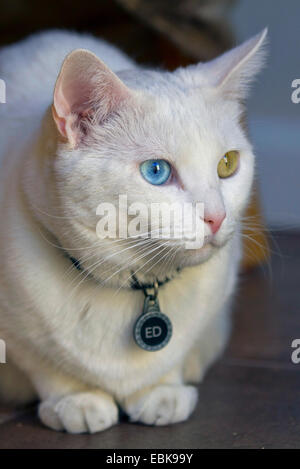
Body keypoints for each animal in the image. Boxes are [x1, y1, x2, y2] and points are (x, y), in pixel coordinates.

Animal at [0, 28, 268, 432]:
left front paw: (162, 390)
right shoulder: (18, 334)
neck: (137, 285)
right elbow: (46, 365)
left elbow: (173, 356)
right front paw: (75, 399)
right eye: (156, 171)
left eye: (228, 164)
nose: (217, 217)